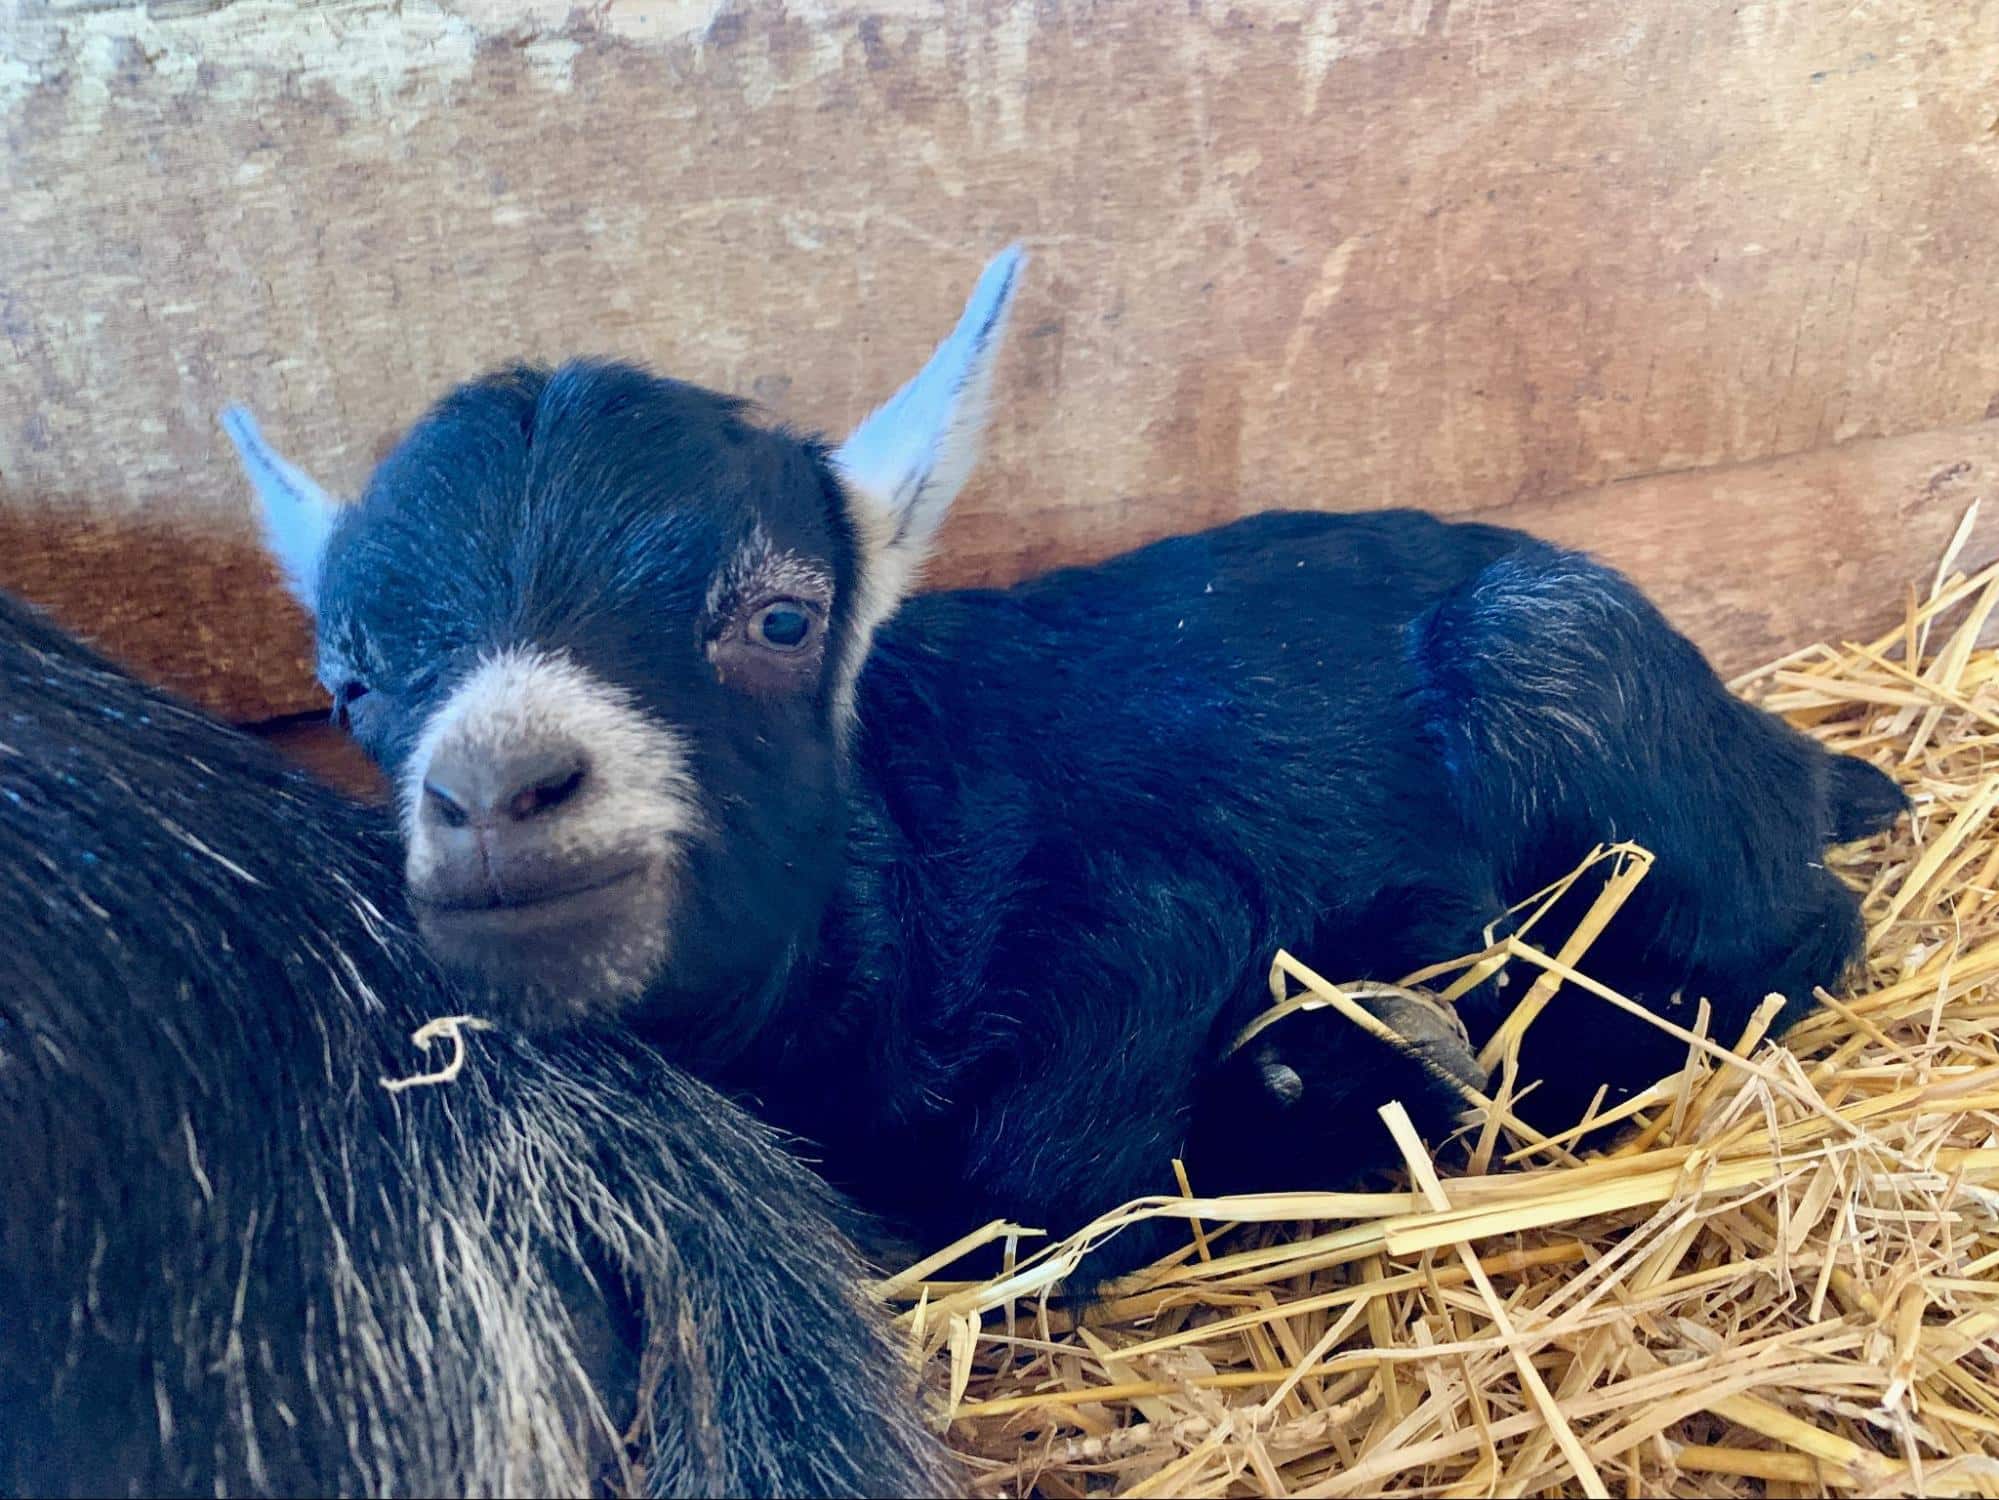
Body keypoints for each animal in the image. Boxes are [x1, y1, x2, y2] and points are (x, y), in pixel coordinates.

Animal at [229, 248, 1905, 1283]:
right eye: (350, 683)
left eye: (780, 616)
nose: (500, 795)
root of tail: (1771, 746)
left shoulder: (1152, 923)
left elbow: (1031, 1206)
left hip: (1568, 681)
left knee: (1782, 941)